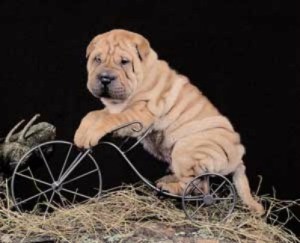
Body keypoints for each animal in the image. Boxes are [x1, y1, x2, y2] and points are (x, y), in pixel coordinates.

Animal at [74, 29, 264, 215]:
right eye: (97, 59)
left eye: (124, 62)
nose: (105, 78)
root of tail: (238, 157)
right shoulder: (113, 109)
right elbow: (93, 115)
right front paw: (81, 133)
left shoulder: (139, 114)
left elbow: (111, 119)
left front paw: (88, 135)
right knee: (201, 184)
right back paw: (169, 179)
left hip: (185, 149)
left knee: (194, 185)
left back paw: (169, 187)